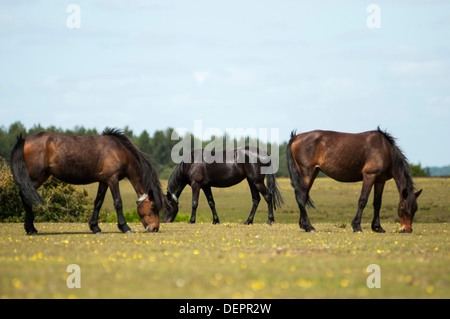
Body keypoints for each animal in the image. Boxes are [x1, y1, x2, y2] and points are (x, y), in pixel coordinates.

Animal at [10, 129, 163, 236]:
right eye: (153, 207)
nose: (155, 228)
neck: (119, 151)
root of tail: (25, 140)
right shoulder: (112, 180)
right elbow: (118, 203)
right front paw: (124, 227)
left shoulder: (104, 181)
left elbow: (98, 203)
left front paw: (95, 227)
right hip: (35, 177)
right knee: (25, 196)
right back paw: (31, 229)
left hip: (42, 176)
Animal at [288, 128, 422, 235]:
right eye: (403, 208)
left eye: (415, 209)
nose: (407, 229)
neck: (385, 150)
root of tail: (296, 137)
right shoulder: (369, 176)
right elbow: (363, 200)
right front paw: (357, 226)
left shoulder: (380, 181)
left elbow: (377, 203)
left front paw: (377, 228)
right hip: (307, 173)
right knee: (301, 196)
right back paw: (309, 227)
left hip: (313, 173)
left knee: (303, 196)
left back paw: (304, 225)